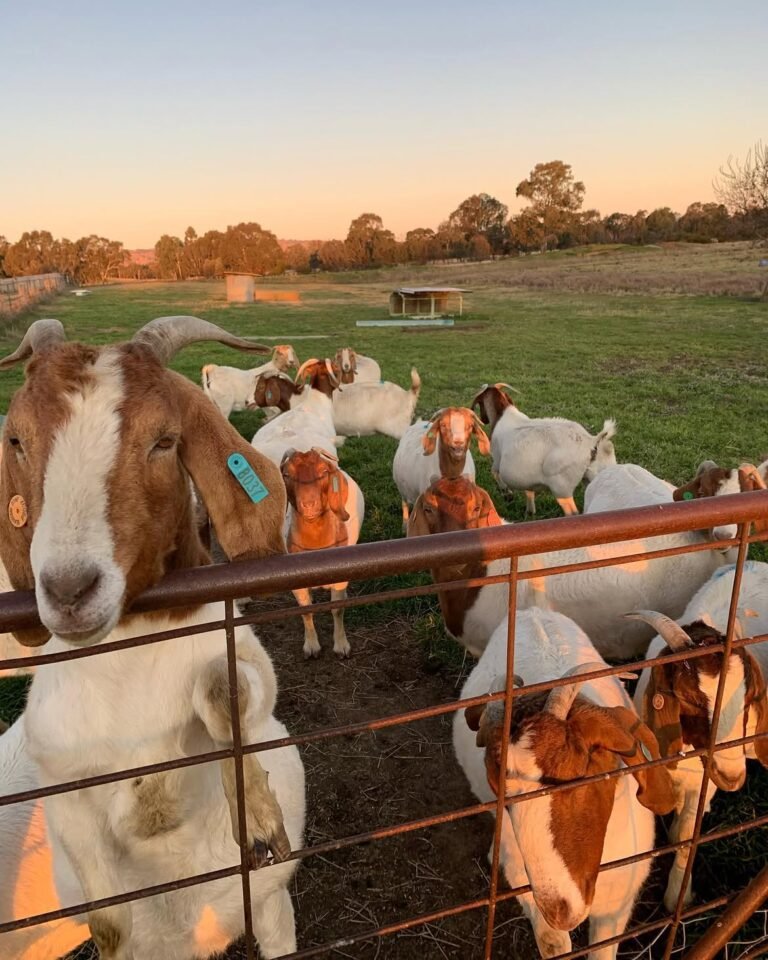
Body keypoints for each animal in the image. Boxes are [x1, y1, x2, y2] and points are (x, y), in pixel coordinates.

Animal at [0, 316, 304, 960]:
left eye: (164, 441)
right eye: (17, 439)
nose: (69, 590)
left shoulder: (250, 664)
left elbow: (227, 688)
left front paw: (259, 818)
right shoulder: (60, 780)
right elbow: (110, 922)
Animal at [281, 448, 364, 658]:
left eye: (324, 472)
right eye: (286, 474)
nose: (308, 504)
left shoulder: (341, 578)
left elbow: (337, 609)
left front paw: (341, 645)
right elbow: (305, 610)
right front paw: (311, 646)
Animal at [454, 607, 675, 959]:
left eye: (579, 774)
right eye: (503, 792)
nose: (559, 908)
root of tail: (532, 612)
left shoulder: (618, 900)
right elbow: (553, 943)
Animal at [472, 383, 616, 516]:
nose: (484, 420)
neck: (502, 415)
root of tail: (591, 441)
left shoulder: (497, 458)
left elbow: (494, 472)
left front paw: (507, 494)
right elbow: (529, 491)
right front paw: (530, 511)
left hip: (562, 488)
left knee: (572, 513)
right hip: (595, 477)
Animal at [630, 584, 768, 911]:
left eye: (747, 697)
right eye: (689, 699)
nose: (732, 777)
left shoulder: (705, 782)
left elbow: (686, 836)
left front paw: (676, 897)